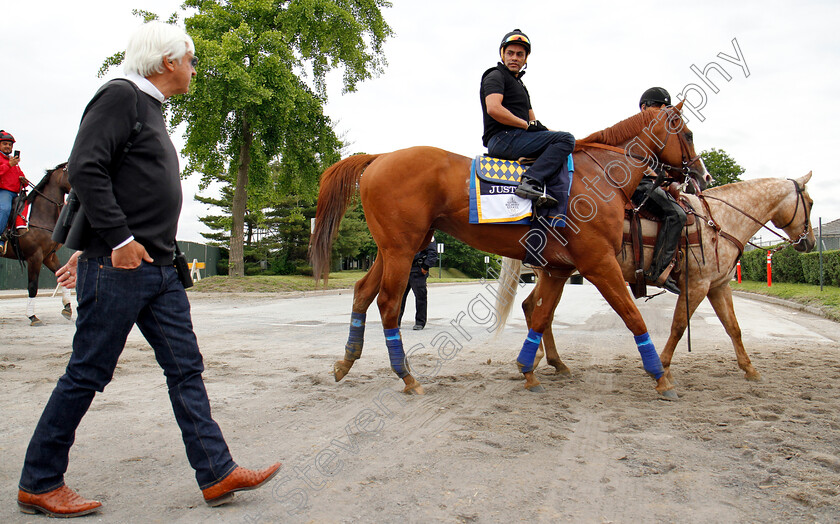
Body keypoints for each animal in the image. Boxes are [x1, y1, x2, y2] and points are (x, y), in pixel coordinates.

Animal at [2, 164, 73, 326]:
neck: (40, 214)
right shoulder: (34, 257)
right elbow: (33, 286)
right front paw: (32, 316)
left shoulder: (49, 256)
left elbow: (63, 275)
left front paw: (67, 307)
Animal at [312, 101, 704, 398]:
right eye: (687, 133)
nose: (702, 176)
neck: (600, 174)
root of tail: (381, 156)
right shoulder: (599, 264)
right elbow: (633, 317)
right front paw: (660, 376)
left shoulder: (559, 268)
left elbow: (541, 316)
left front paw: (528, 369)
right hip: (401, 251)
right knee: (389, 304)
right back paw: (406, 376)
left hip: (394, 248)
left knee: (363, 292)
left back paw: (347, 361)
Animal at [496, 173, 816, 388]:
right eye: (811, 203)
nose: (809, 242)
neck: (718, 220)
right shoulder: (696, 286)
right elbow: (678, 327)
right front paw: (663, 367)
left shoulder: (717, 286)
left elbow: (733, 328)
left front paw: (750, 369)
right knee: (538, 310)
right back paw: (541, 361)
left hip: (554, 274)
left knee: (535, 309)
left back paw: (548, 361)